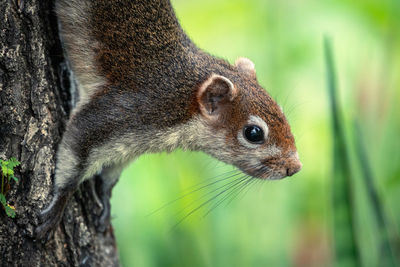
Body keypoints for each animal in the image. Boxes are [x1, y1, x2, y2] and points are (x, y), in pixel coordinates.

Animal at [35, 0, 304, 241]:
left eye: (281, 111)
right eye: (253, 133)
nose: (295, 168)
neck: (183, 100)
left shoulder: (128, 147)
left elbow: (109, 175)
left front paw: (105, 203)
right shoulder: (118, 113)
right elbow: (76, 149)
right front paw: (58, 206)